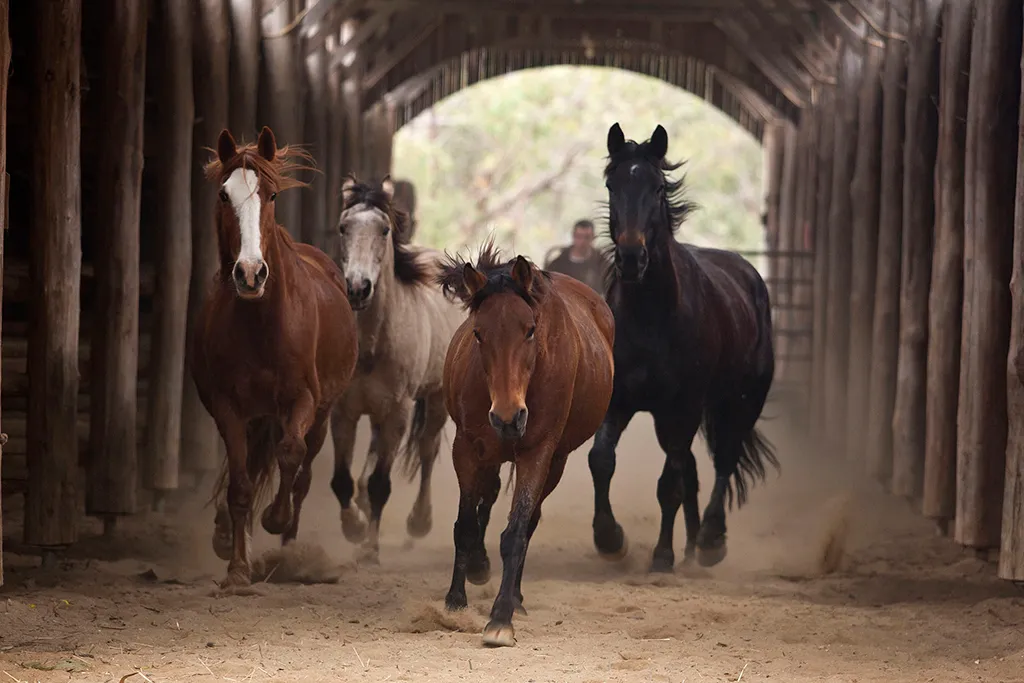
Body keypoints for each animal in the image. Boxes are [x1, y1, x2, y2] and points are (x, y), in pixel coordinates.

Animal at [191, 126, 358, 588]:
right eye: (224, 194)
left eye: (271, 195)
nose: (250, 273)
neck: (262, 325)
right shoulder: (227, 407)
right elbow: (241, 484)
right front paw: (236, 567)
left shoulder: (302, 400)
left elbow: (289, 454)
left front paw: (275, 520)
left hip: (322, 414)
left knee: (302, 472)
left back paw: (290, 550)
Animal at [328, 175, 465, 564]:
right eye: (343, 227)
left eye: (385, 229)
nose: (358, 288)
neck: (372, 345)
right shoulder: (343, 411)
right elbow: (340, 481)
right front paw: (354, 527)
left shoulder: (398, 412)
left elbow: (381, 484)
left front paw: (369, 548)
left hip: (435, 400)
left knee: (428, 451)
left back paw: (418, 522)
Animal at [438, 243, 615, 647]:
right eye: (478, 333)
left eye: (530, 330)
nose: (508, 418)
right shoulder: (466, 448)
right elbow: (465, 524)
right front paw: (455, 600)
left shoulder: (539, 452)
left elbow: (516, 531)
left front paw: (500, 618)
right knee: (486, 500)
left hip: (555, 461)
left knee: (529, 521)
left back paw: (515, 598)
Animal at [588, 123, 778, 573]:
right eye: (611, 184)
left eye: (657, 187)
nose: (631, 257)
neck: (650, 318)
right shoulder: (620, 401)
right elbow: (602, 460)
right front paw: (610, 539)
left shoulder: (684, 407)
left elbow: (669, 483)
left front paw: (661, 555)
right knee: (693, 468)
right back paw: (691, 545)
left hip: (741, 402)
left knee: (723, 460)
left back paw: (708, 540)